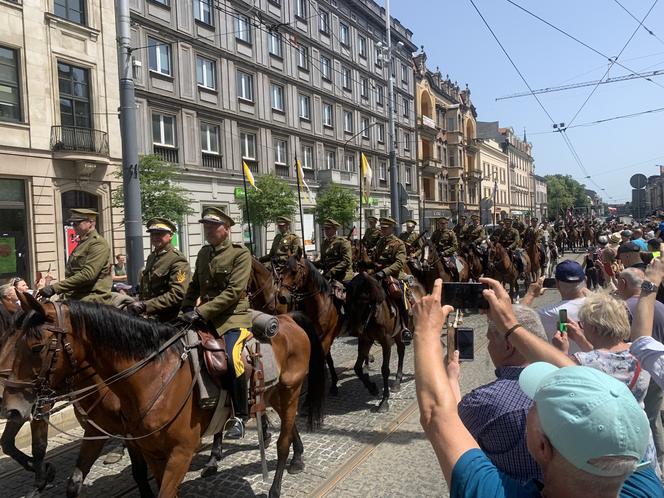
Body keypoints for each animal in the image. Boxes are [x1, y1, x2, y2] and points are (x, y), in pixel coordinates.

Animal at [3, 296, 326, 498]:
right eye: (10, 342)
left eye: (36, 347)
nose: (13, 408)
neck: (152, 376)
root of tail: (287, 319)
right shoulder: (135, 445)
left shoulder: (178, 452)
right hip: (274, 395)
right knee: (288, 427)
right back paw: (294, 456)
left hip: (290, 393)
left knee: (283, 441)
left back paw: (276, 481)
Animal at [344, 272, 408, 412]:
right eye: (348, 304)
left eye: (366, 304)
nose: (355, 331)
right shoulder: (365, 340)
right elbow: (357, 368)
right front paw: (372, 388)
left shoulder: (386, 341)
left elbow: (385, 369)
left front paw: (384, 401)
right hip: (397, 334)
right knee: (401, 351)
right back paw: (397, 381)